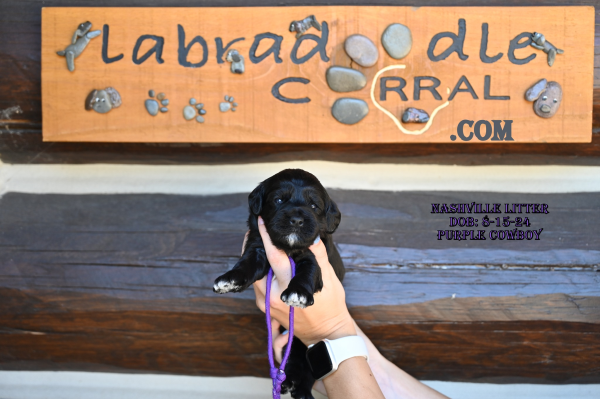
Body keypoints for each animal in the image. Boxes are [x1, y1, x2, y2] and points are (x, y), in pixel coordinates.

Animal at [213, 170, 344, 399]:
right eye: (279, 200)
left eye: (314, 206)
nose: (296, 220)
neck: (287, 248)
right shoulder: (257, 247)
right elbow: (246, 265)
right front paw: (229, 280)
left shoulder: (313, 257)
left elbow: (307, 272)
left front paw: (298, 293)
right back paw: (286, 381)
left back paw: (300, 391)